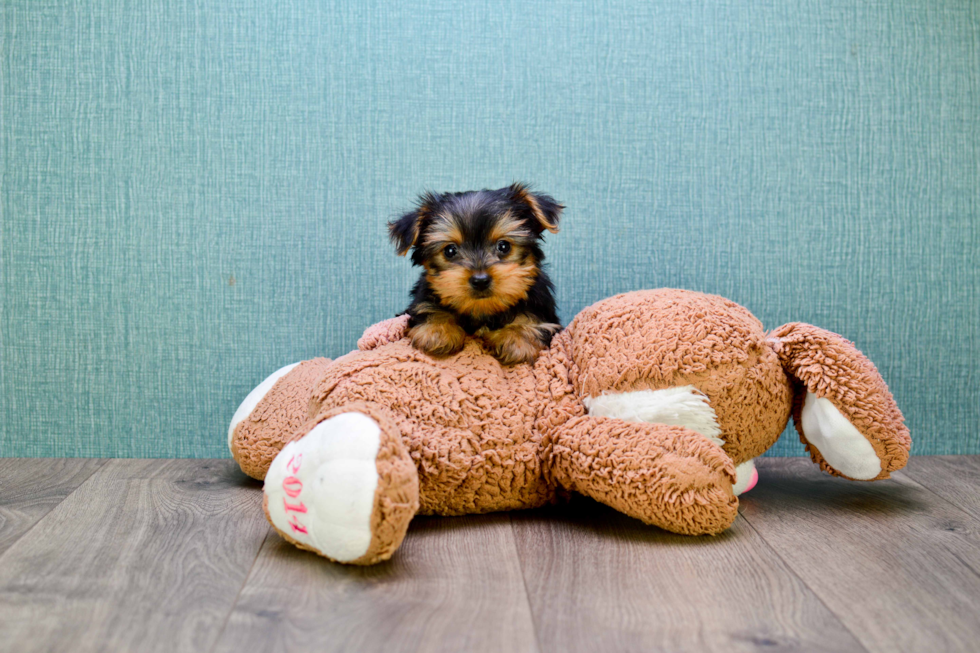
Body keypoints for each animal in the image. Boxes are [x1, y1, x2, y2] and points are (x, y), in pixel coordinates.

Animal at [388, 183, 564, 364]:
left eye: (504, 246)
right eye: (450, 251)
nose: (480, 280)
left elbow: (531, 319)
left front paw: (516, 337)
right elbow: (428, 308)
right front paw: (438, 330)